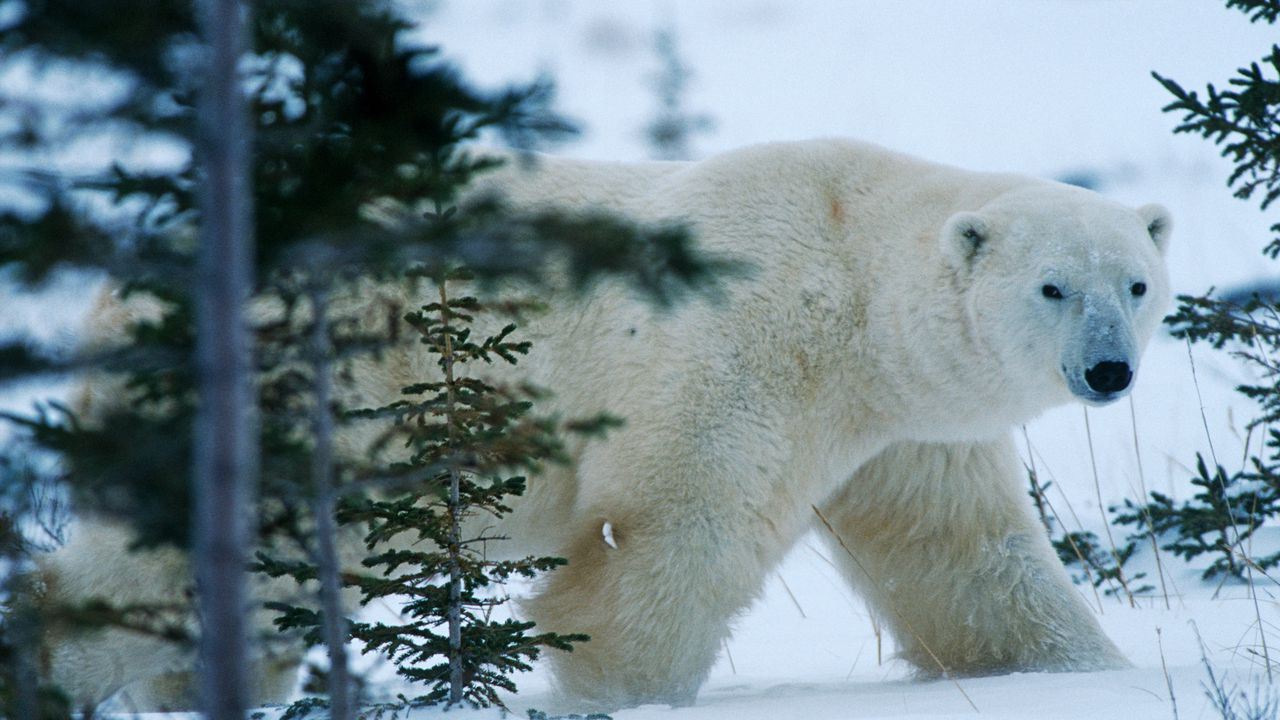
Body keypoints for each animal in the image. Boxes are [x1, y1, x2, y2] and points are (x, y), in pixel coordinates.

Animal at [32, 137, 1172, 707]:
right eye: (1051, 287)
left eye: (1136, 282)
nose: (1109, 370)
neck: (846, 274)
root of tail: (119, 294)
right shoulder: (739, 353)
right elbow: (668, 532)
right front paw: (614, 690)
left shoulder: (907, 428)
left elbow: (963, 554)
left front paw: (1081, 674)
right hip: (319, 391)